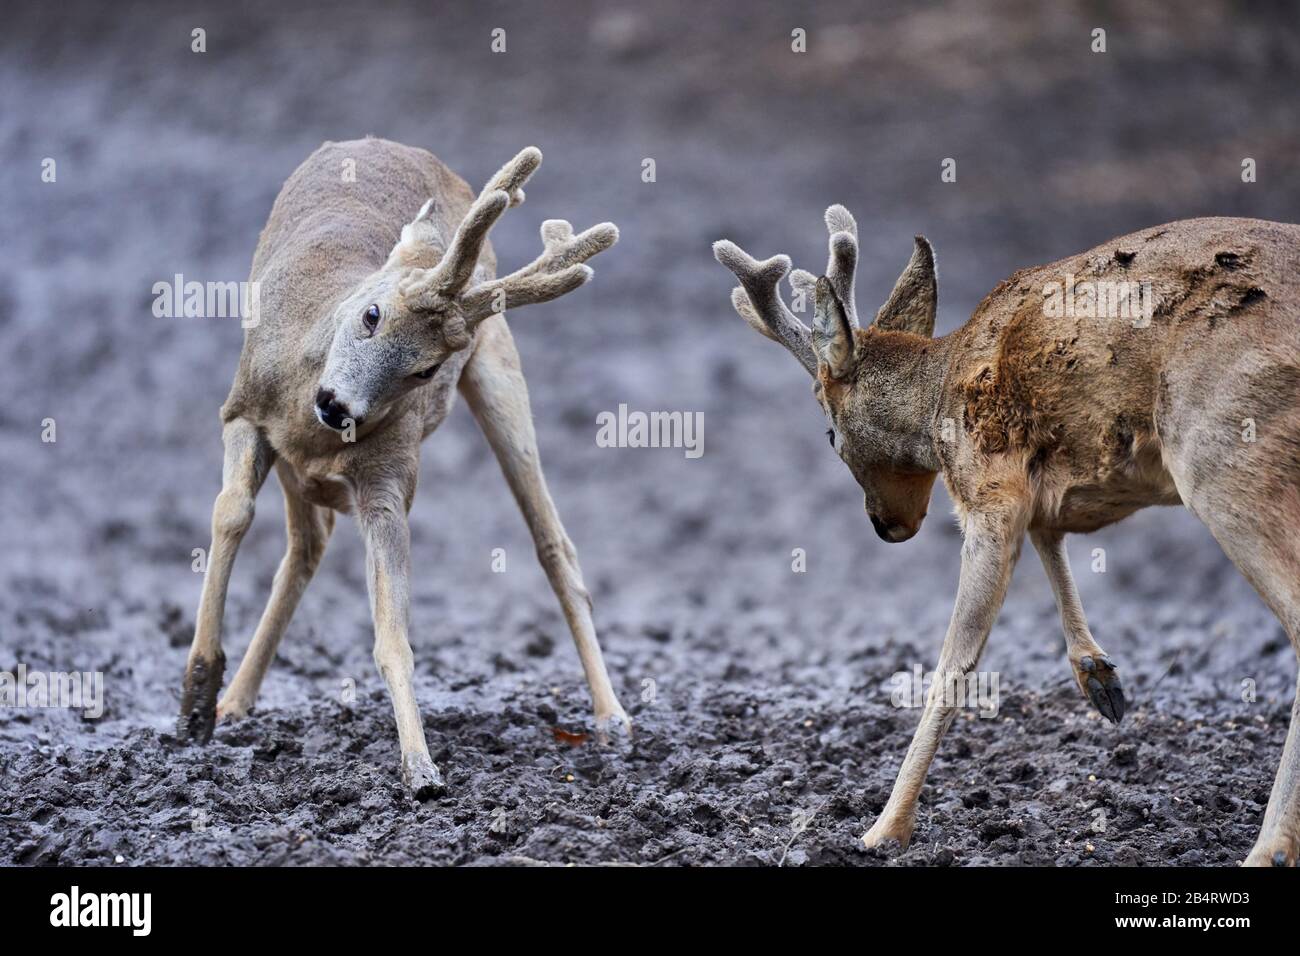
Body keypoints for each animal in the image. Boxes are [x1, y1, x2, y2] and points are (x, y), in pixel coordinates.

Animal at [182, 138, 629, 796]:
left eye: (424, 370)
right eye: (372, 315)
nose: (336, 405)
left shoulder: (390, 479)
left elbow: (393, 632)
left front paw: (420, 767)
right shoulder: (240, 410)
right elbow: (231, 513)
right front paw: (194, 702)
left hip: (496, 359)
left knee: (553, 541)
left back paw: (612, 717)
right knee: (306, 542)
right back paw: (233, 702)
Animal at [717, 209, 1294, 868]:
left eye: (831, 436)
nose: (887, 526)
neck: (940, 396)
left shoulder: (987, 491)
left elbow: (954, 662)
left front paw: (884, 828)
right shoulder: (1038, 486)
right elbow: (1051, 533)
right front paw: (1100, 677)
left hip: (1223, 455)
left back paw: (1269, 848)